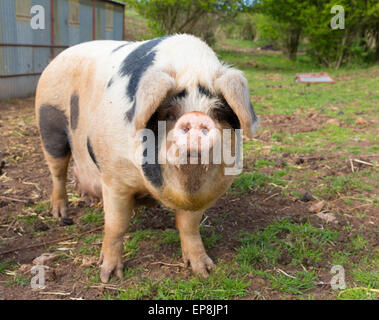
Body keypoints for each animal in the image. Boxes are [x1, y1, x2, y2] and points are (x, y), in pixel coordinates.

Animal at [35, 33, 258, 282]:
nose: (196, 117)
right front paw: (108, 276)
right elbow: (116, 225)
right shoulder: (114, 178)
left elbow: (189, 226)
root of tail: (58, 57)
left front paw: (205, 271)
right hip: (49, 125)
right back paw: (59, 214)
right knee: (57, 172)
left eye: (218, 113)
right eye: (169, 114)